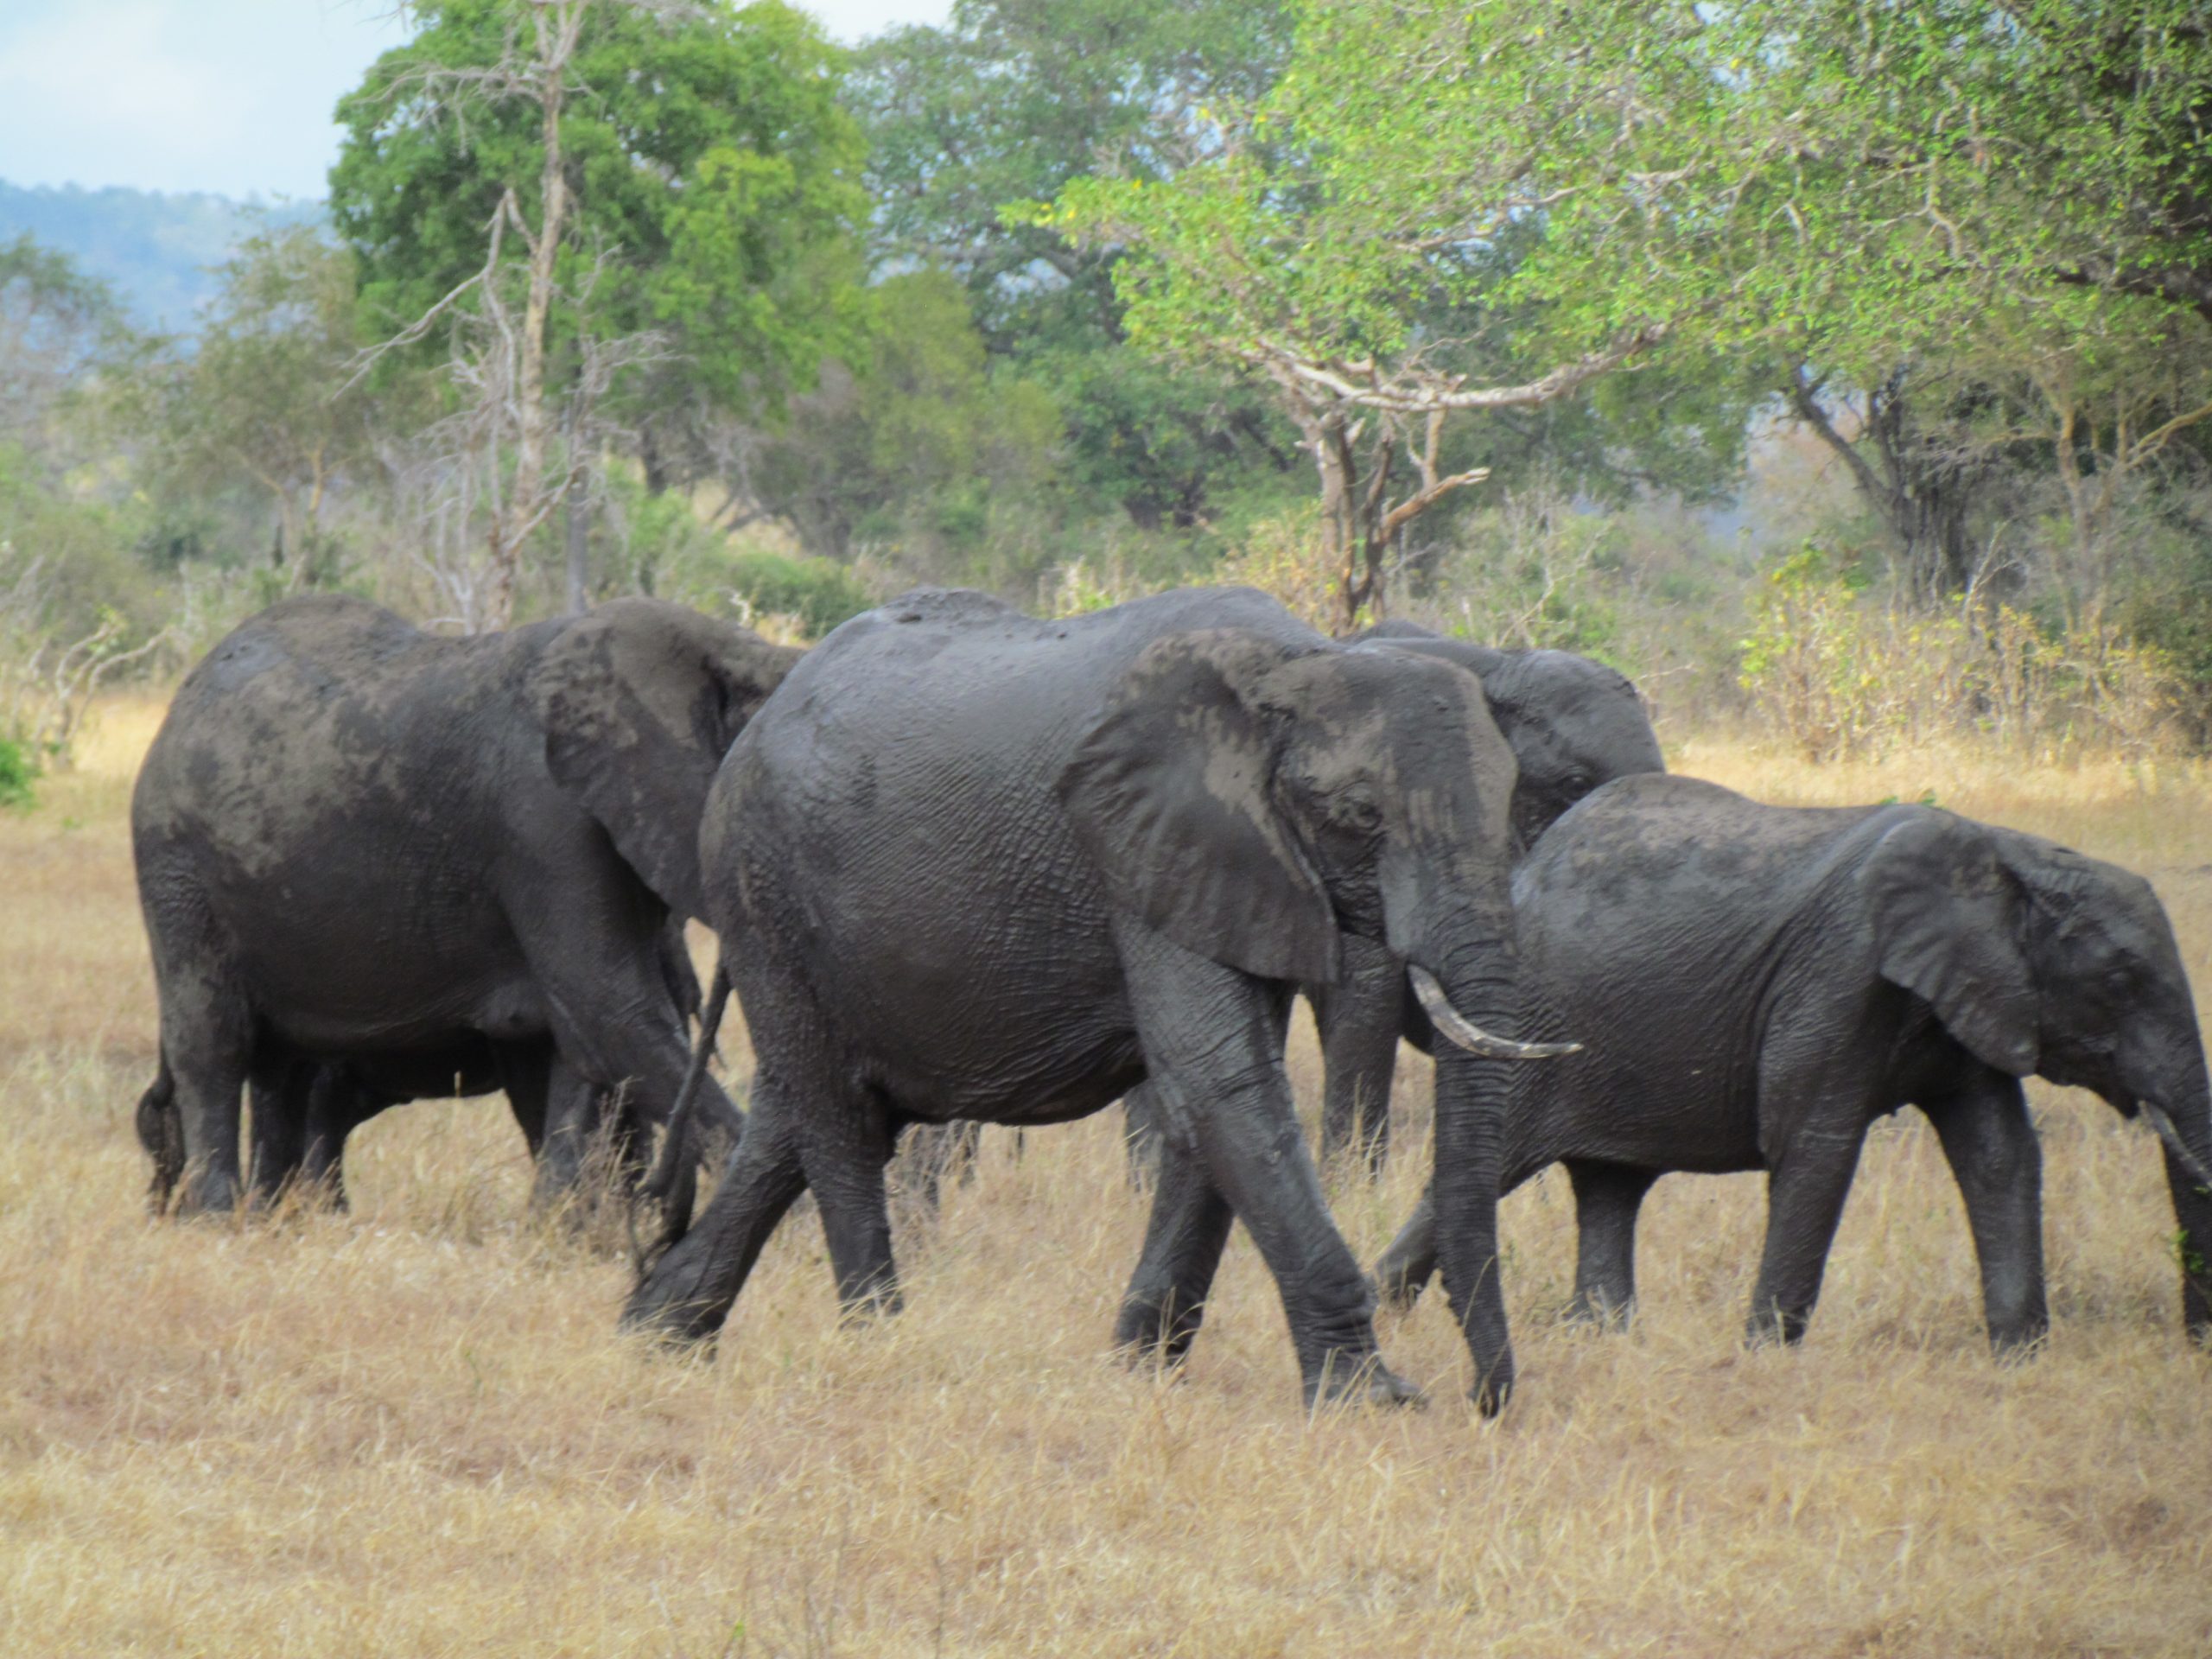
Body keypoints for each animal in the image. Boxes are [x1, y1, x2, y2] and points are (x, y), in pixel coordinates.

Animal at [125, 597, 791, 1221]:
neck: (731, 649)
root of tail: (184, 697)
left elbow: (585, 1035)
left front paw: (565, 1233)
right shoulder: (545, 821)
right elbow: (608, 1005)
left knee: (280, 1065)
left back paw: (277, 1221)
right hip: (175, 866)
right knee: (215, 1039)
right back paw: (218, 1219)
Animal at [614, 593, 1566, 1407]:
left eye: (1513, 804)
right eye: (1361, 815)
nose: (1484, 1401)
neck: (1302, 661)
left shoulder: (1238, 873)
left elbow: (1213, 1097)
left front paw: (1140, 1368)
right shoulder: (1146, 852)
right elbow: (1221, 1081)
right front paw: (1370, 1402)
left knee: (793, 1121)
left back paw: (654, 1335)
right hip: (758, 888)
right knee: (840, 1125)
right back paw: (876, 1340)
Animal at [1371, 774, 2212, 1397]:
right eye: (2121, 981)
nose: (2196, 1344)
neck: (2009, 857)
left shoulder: (1974, 997)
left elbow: (1998, 1153)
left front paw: (2020, 1358)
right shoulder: (1842, 974)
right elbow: (1814, 1146)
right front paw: (1765, 1357)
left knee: (1608, 1186)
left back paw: (1590, 1334)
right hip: (1534, 1023)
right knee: (1500, 1168)